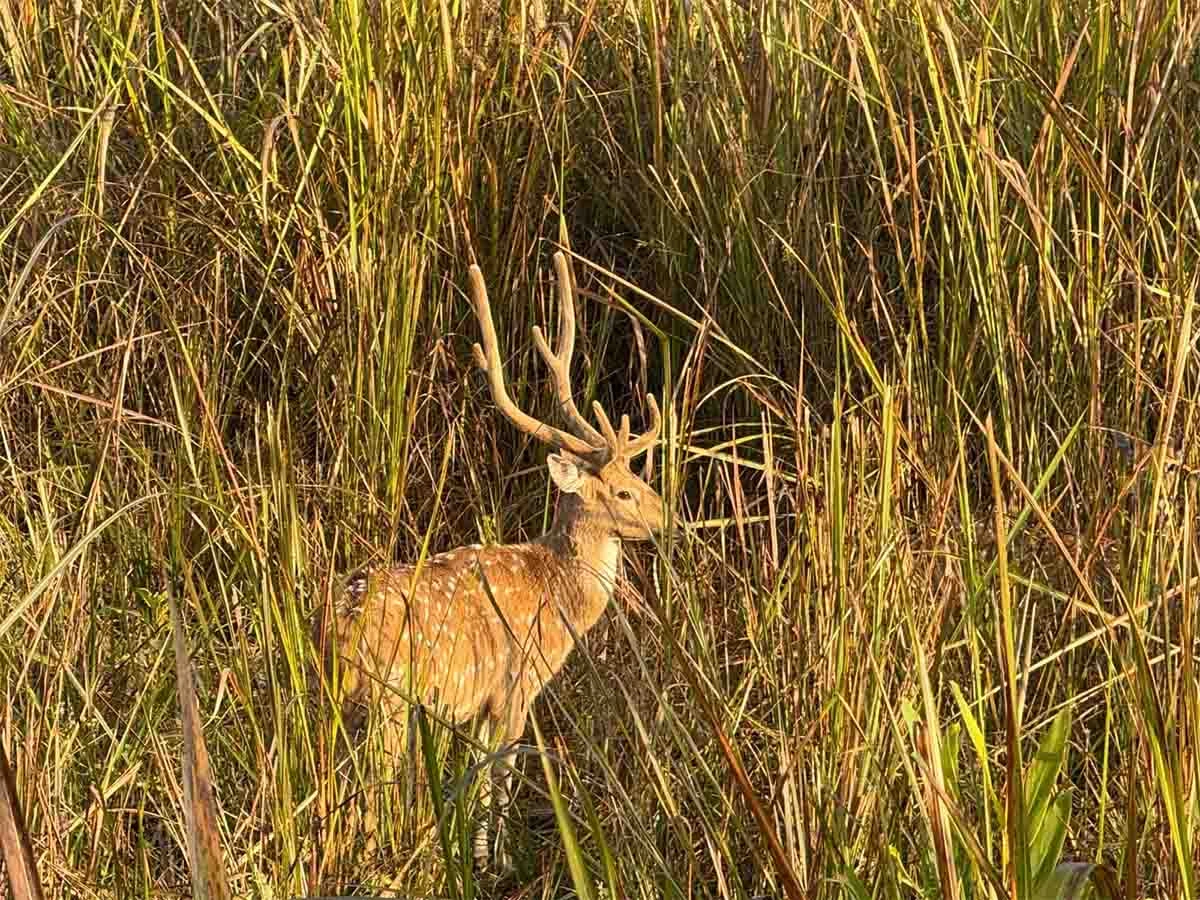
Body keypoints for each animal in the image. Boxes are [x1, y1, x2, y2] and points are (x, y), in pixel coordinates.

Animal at [319, 251, 667, 869]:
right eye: (624, 492)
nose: (666, 515)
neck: (558, 593)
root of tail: (336, 627)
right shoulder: (515, 685)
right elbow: (500, 775)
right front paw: (495, 860)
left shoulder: (478, 703)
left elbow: (476, 774)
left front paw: (477, 854)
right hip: (388, 702)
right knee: (373, 791)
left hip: (329, 706)